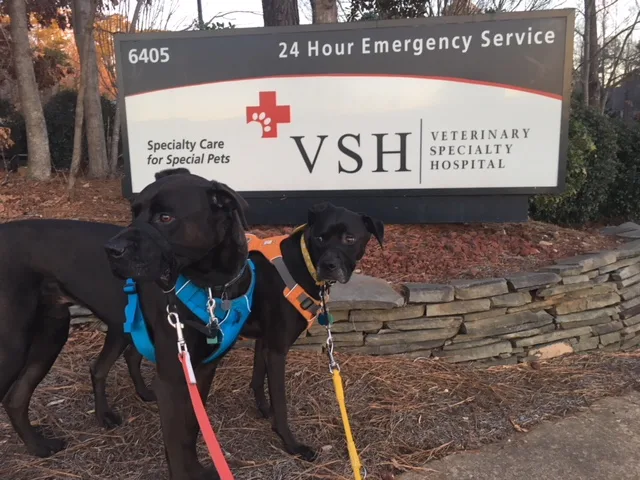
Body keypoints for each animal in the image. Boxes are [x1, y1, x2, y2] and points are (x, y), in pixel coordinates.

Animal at [104, 168, 384, 476]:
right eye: (320, 238)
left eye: (350, 238)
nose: (329, 266)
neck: (300, 263)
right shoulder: (277, 348)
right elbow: (280, 401)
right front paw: (290, 442)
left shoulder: (265, 341)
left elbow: (257, 378)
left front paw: (263, 409)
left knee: (132, 353)